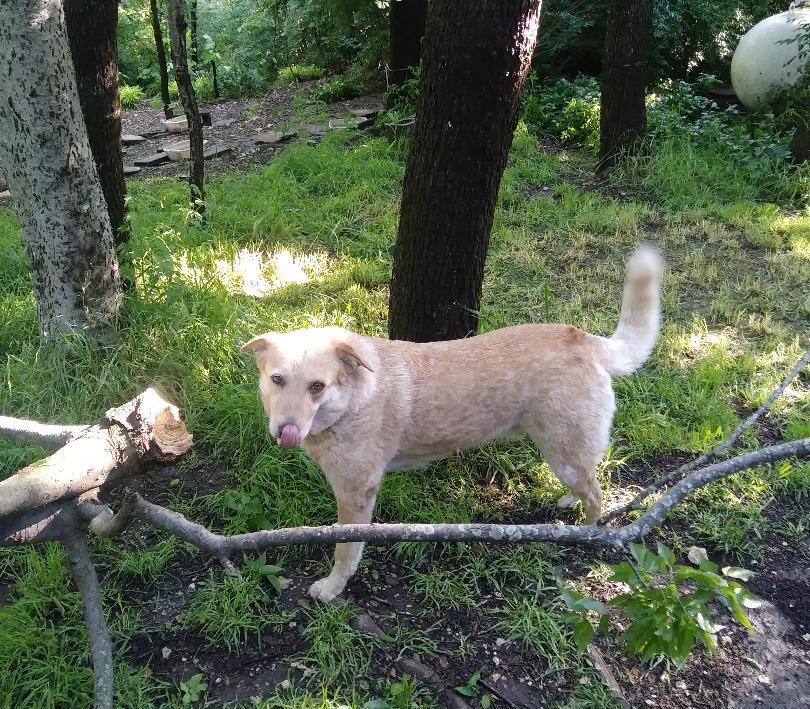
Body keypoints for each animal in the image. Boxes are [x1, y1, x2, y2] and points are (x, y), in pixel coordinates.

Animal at [243, 243, 660, 596]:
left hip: (564, 453)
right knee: (586, 485)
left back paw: (584, 536)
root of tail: (583, 339)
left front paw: (332, 589)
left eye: (317, 386)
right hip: (559, 451)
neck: (352, 401)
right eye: (277, 380)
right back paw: (568, 502)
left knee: (596, 495)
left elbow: (346, 551)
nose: (287, 431)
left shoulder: (355, 496)